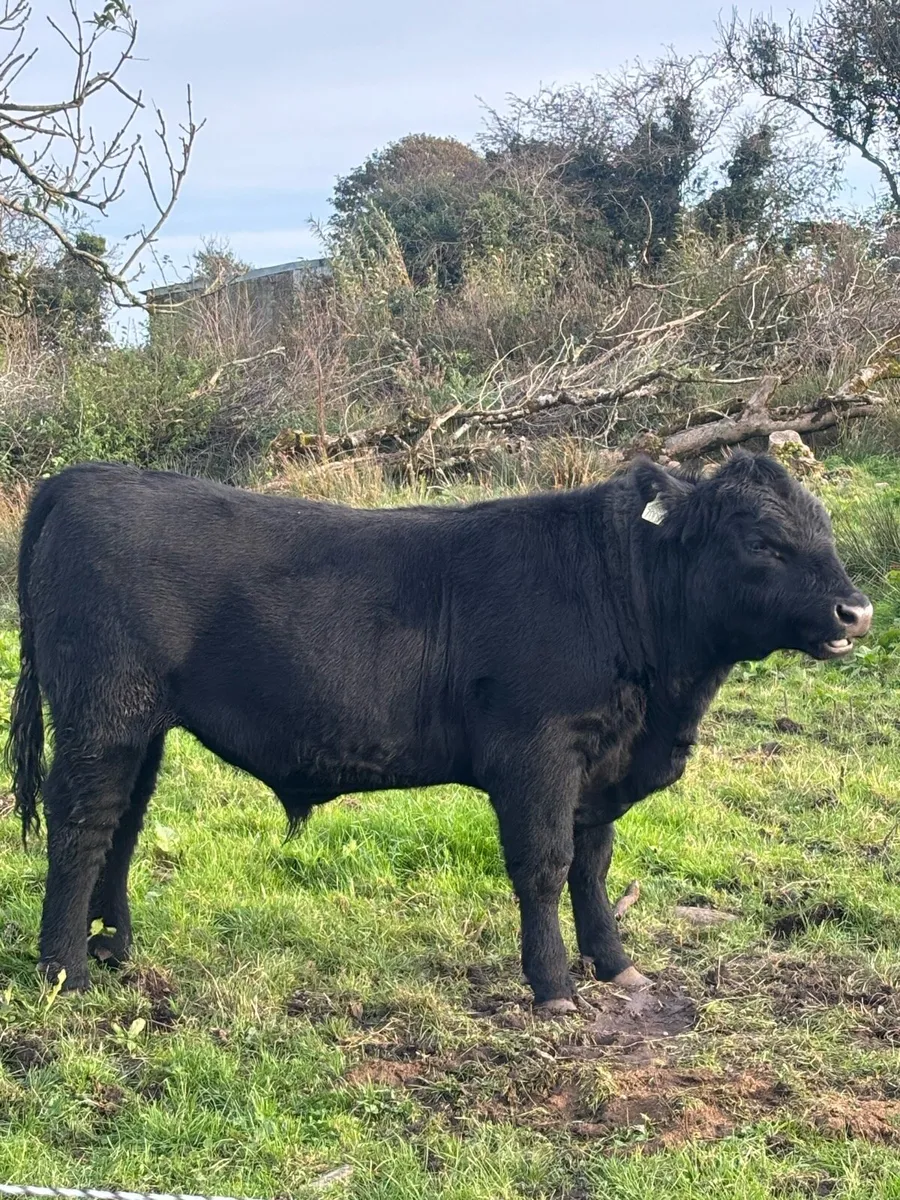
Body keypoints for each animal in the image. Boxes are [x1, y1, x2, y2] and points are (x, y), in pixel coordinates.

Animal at [5, 452, 872, 1012]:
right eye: (761, 540)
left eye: (824, 528)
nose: (855, 611)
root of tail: (89, 476)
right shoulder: (538, 754)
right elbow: (545, 868)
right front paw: (554, 988)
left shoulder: (600, 761)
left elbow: (594, 868)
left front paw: (617, 967)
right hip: (102, 711)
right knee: (81, 827)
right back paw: (66, 973)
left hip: (142, 724)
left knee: (120, 827)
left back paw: (113, 950)